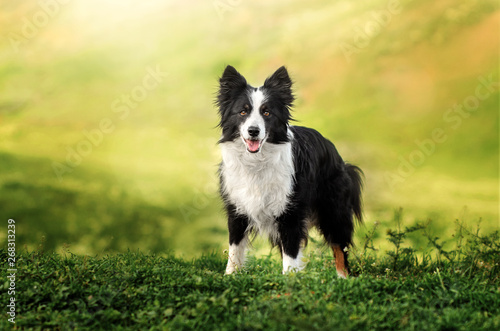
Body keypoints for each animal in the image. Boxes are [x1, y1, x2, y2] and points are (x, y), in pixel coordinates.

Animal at [215, 65, 364, 278]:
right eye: (242, 112)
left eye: (267, 113)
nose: (253, 131)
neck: (257, 161)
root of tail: (337, 154)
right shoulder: (237, 208)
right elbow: (234, 248)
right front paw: (230, 276)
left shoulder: (290, 211)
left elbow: (291, 253)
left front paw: (290, 281)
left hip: (333, 210)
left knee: (339, 247)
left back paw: (343, 278)